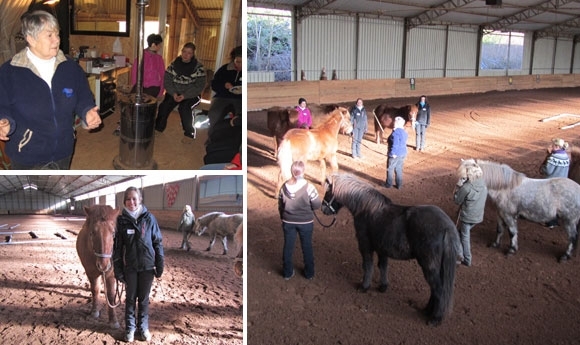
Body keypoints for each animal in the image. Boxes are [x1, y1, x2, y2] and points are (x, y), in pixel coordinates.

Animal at [320, 175, 460, 326]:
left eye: (328, 192)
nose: (323, 209)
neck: (366, 208)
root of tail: (447, 227)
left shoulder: (365, 246)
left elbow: (368, 266)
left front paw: (364, 287)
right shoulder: (382, 248)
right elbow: (382, 266)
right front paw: (383, 287)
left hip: (429, 266)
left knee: (438, 290)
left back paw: (435, 318)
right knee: (435, 290)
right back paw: (426, 311)